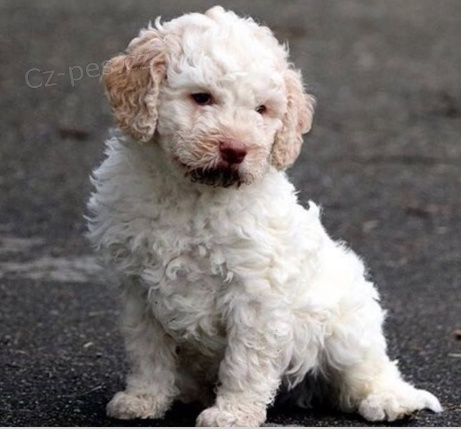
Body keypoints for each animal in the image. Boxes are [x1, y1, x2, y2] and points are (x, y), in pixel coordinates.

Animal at [87, 5, 442, 424]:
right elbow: (147, 352)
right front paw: (144, 399)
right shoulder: (138, 289)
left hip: (345, 323)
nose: (236, 149)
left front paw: (232, 414)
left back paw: (389, 399)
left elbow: (246, 362)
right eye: (201, 98)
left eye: (262, 110)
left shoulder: (255, 292)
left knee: (368, 366)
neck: (193, 195)